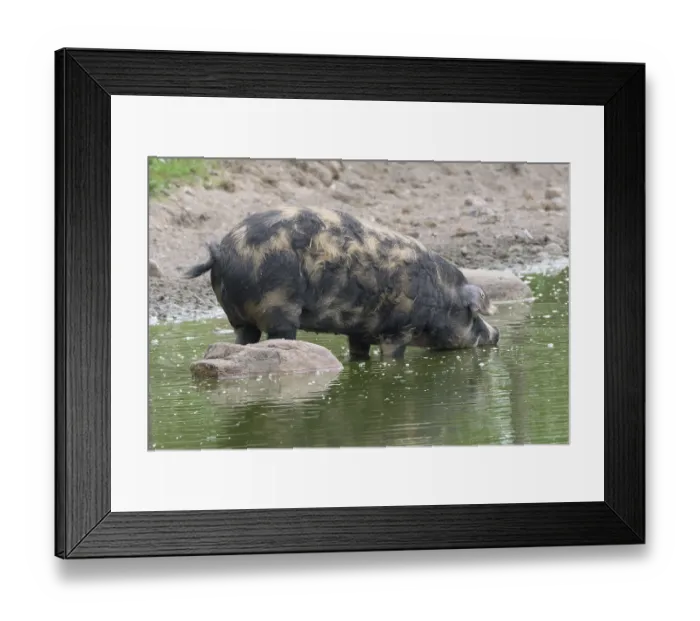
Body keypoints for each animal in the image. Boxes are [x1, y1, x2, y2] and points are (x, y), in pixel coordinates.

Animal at [185, 205, 500, 359]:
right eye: (473, 315)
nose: (497, 334)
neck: (440, 293)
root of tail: (222, 252)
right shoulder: (398, 330)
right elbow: (393, 358)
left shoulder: (359, 330)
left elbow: (358, 354)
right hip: (276, 307)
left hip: (239, 317)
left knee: (242, 338)